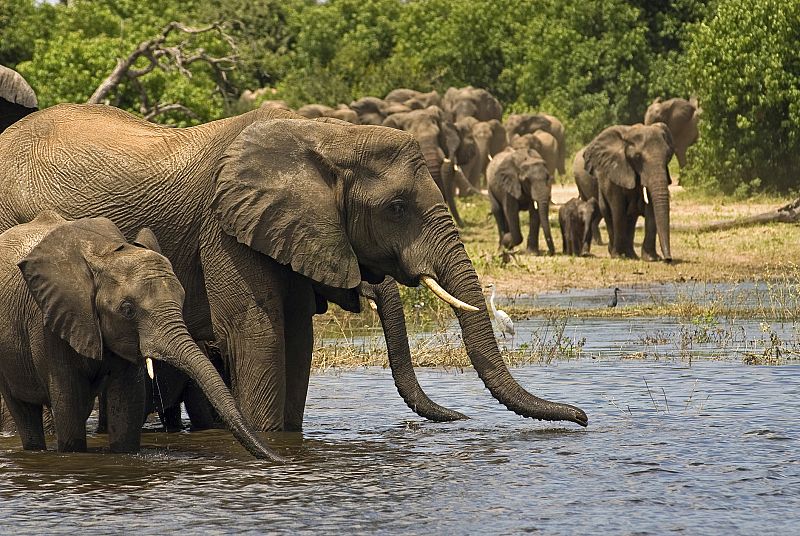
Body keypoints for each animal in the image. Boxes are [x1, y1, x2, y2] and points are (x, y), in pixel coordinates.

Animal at [0, 103, 588, 434]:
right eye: (398, 207)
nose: (582, 418)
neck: (325, 135)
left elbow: (298, 337)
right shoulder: (225, 224)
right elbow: (258, 332)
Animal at [0, 211, 280, 459]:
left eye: (182, 299)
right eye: (127, 310)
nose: (279, 459)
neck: (105, 253)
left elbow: (127, 404)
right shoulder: (50, 321)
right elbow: (68, 407)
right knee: (25, 413)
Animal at [583, 123, 674, 261]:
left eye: (668, 155)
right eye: (637, 157)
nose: (668, 258)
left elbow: (651, 209)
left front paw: (652, 258)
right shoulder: (615, 172)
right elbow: (618, 209)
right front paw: (618, 256)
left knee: (631, 218)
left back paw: (632, 255)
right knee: (609, 214)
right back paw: (616, 252)